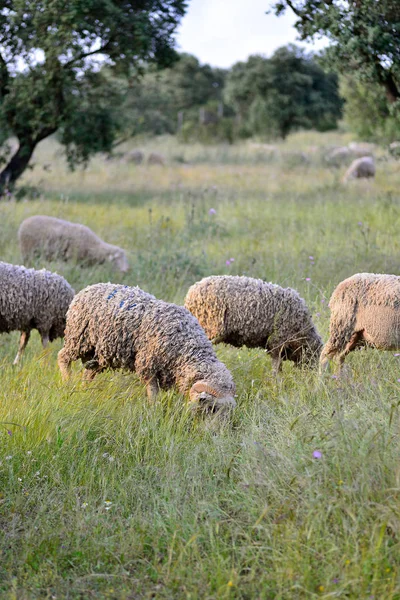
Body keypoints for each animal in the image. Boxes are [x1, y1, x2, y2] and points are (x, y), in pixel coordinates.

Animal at [57, 282, 236, 412]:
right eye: (211, 408)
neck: (186, 344)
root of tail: (87, 289)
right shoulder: (147, 365)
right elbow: (153, 393)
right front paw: (154, 411)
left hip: (99, 353)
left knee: (89, 372)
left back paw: (84, 390)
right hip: (78, 338)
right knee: (62, 356)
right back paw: (67, 383)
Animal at [184, 278, 322, 376]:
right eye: (315, 356)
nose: (313, 376)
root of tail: (191, 295)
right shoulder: (277, 341)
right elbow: (276, 365)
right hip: (207, 328)